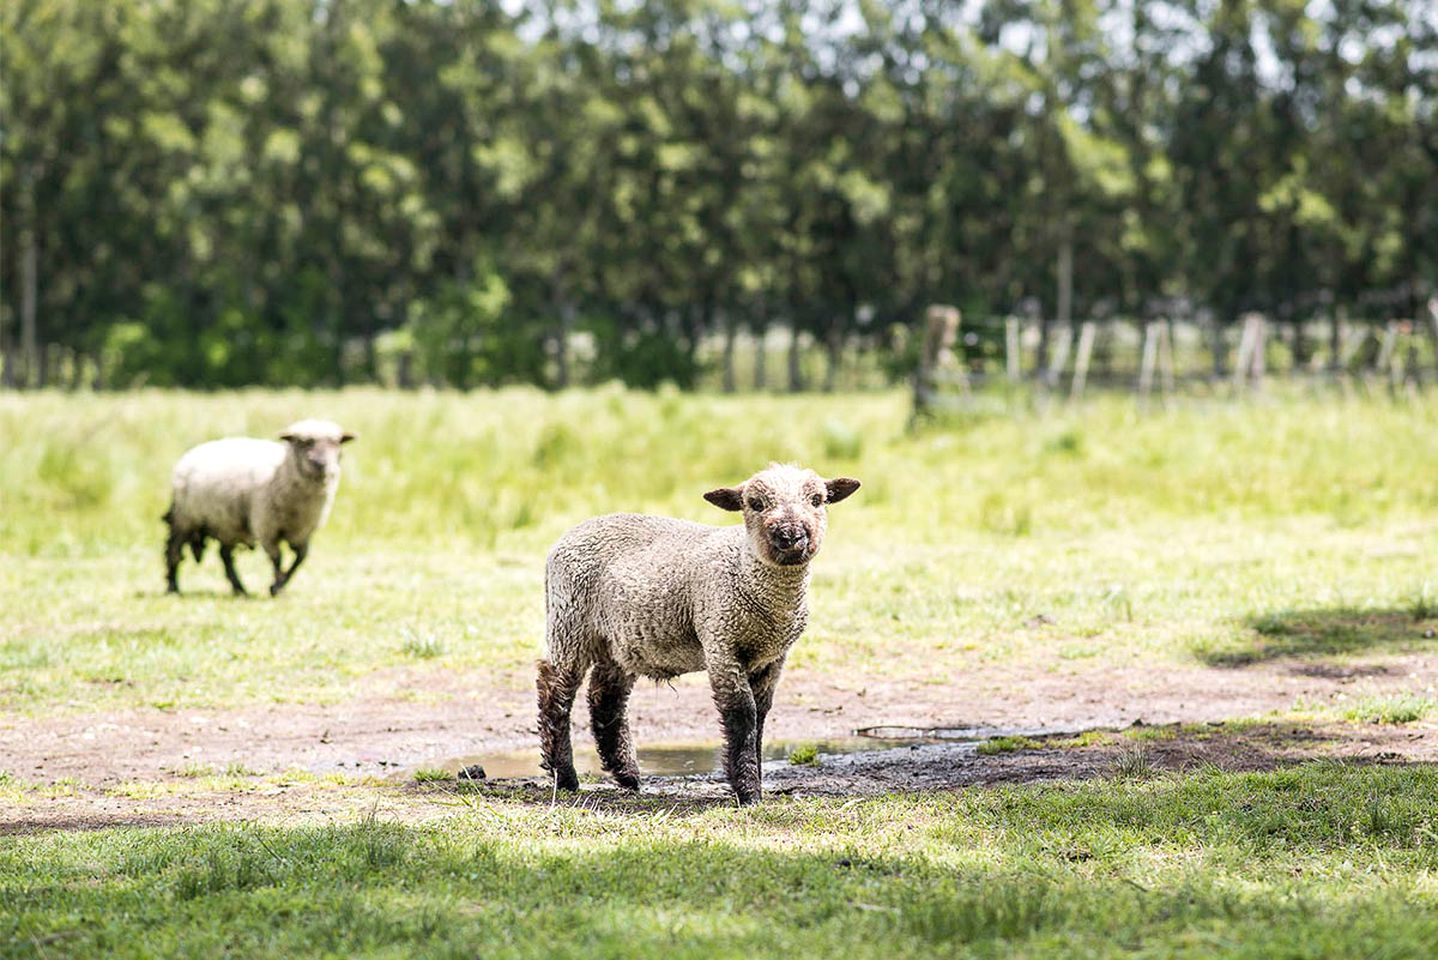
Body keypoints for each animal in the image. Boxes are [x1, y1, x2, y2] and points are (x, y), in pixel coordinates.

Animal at [160, 416, 353, 594]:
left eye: (335, 443)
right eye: (304, 442)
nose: (321, 463)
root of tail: (191, 453)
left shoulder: (303, 531)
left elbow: (300, 558)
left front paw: (280, 584)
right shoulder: (266, 527)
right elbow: (277, 558)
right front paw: (276, 587)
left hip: (226, 522)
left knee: (225, 555)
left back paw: (239, 589)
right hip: (185, 518)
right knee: (174, 552)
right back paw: (173, 587)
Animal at [537, 462, 851, 804]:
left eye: (817, 500)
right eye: (755, 503)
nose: (791, 535)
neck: (746, 570)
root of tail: (565, 538)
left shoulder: (773, 657)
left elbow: (761, 715)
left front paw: (754, 780)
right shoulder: (721, 641)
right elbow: (742, 713)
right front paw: (748, 791)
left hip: (620, 640)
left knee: (605, 696)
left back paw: (627, 775)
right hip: (569, 623)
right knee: (555, 692)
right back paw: (565, 776)